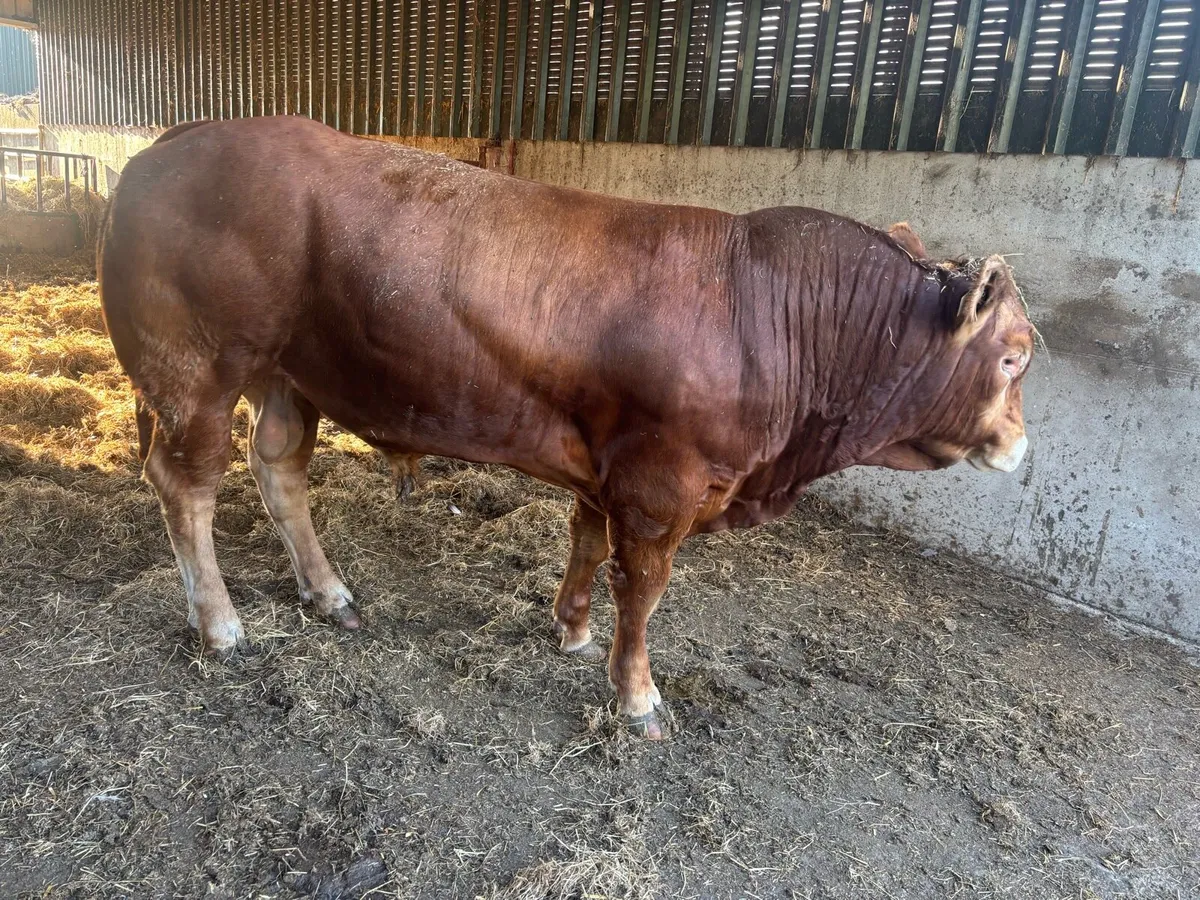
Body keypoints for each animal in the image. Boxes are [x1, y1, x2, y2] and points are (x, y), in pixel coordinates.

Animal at [99, 117, 1034, 739]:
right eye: (1016, 356)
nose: (1022, 447)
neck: (768, 311)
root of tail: (167, 143)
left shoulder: (608, 462)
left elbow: (585, 541)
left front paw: (574, 630)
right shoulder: (661, 484)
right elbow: (643, 588)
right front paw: (637, 695)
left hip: (293, 375)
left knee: (279, 470)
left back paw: (328, 593)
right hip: (195, 372)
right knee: (187, 487)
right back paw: (221, 624)